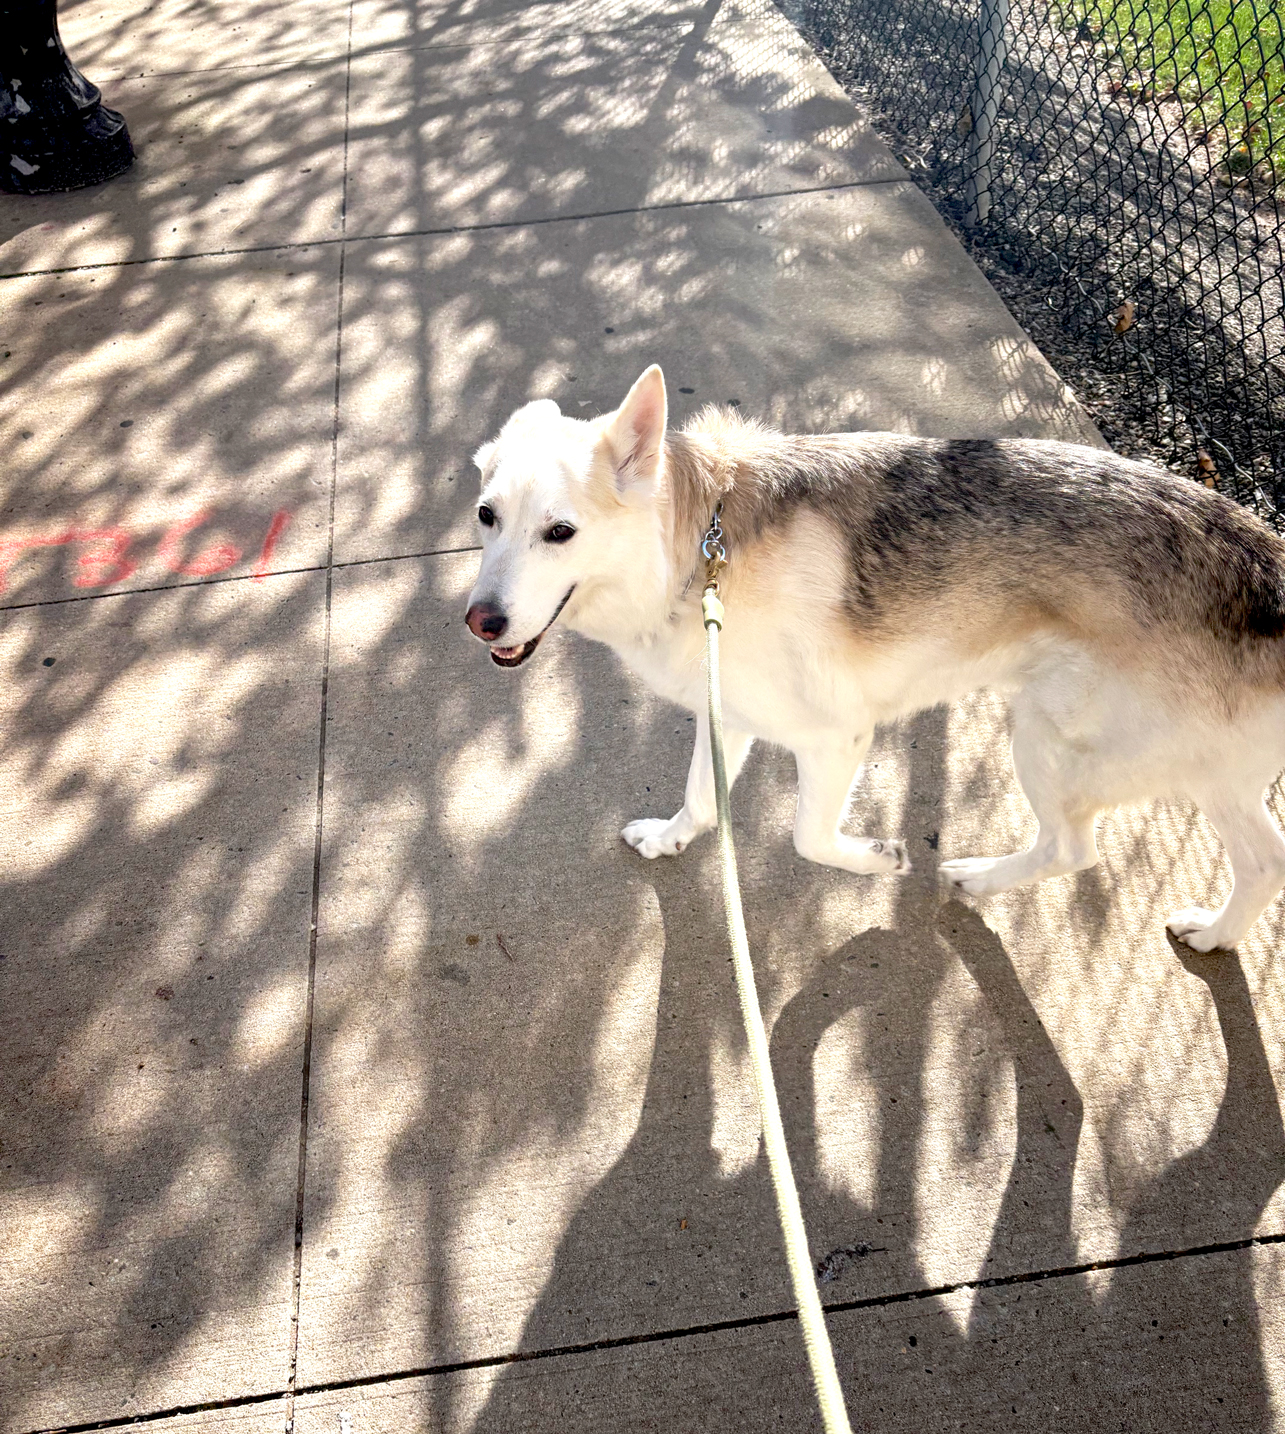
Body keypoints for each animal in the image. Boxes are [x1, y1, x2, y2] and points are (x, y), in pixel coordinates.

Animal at [464, 365, 1285, 952]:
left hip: (1049, 741)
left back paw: (979, 878)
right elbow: (700, 798)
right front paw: (670, 840)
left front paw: (877, 861)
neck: (700, 551)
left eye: (560, 532)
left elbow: (807, 837)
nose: (479, 621)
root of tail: (1266, 570)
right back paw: (1214, 935)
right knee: (1261, 862)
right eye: (486, 517)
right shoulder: (726, 716)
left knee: (1073, 847)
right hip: (1209, 779)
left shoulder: (835, 739)